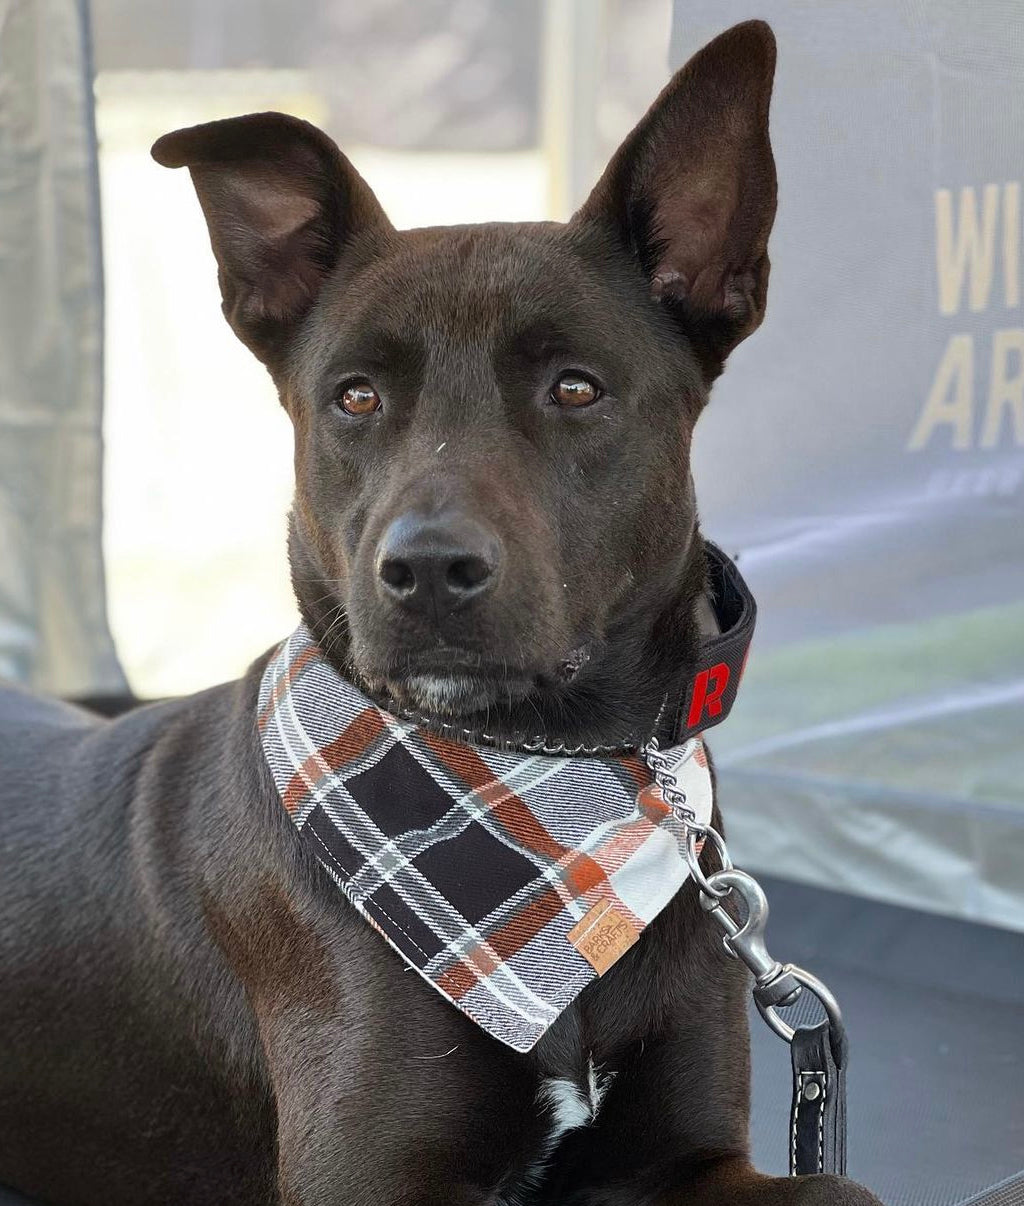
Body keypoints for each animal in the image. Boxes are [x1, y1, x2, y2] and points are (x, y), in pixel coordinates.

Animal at [0, 21, 878, 1206]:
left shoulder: (689, 1158)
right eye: (355, 396)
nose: (424, 569)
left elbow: (840, 1186)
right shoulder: (369, 1179)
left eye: (575, 388)